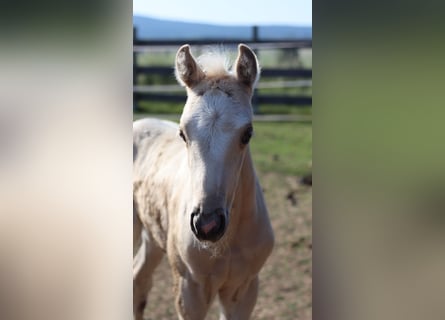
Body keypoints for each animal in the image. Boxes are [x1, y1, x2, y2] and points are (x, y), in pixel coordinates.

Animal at [132, 44, 274, 320]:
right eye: (183, 133)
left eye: (248, 133)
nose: (207, 224)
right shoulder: (189, 289)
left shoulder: (244, 289)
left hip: (152, 236)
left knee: (138, 281)